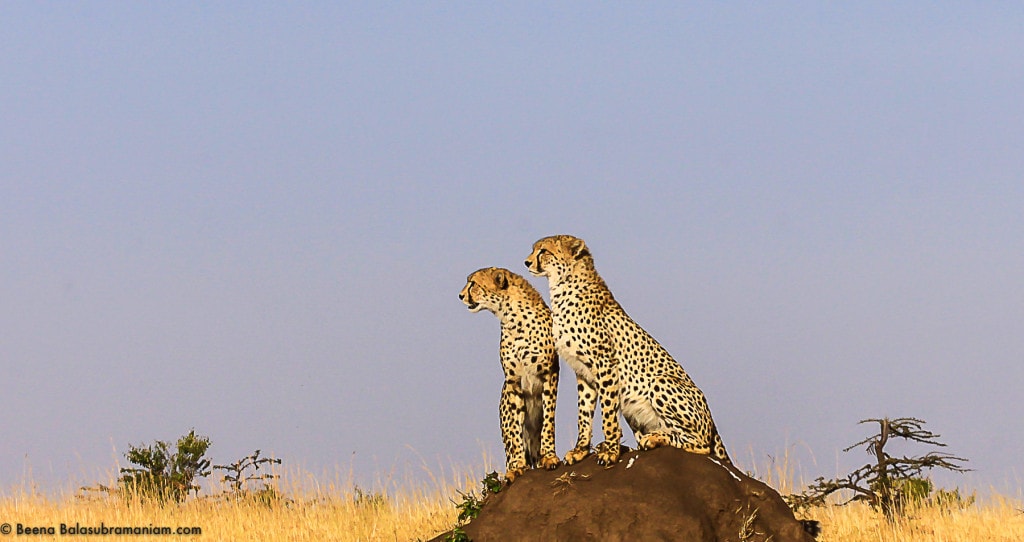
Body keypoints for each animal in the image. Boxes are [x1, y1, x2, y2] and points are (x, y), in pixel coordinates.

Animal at [462, 266, 565, 481]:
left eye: (473, 283)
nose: (460, 295)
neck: (512, 318)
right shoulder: (513, 380)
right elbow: (515, 428)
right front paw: (517, 466)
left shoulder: (549, 374)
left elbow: (548, 421)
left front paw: (549, 457)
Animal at [524, 234, 733, 467]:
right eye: (534, 249)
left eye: (543, 251)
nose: (527, 262)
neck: (562, 286)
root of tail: (712, 421)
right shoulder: (583, 372)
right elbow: (584, 414)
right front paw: (580, 450)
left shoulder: (605, 364)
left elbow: (608, 413)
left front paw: (610, 452)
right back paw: (649, 439)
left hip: (660, 382)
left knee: (700, 443)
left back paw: (653, 439)